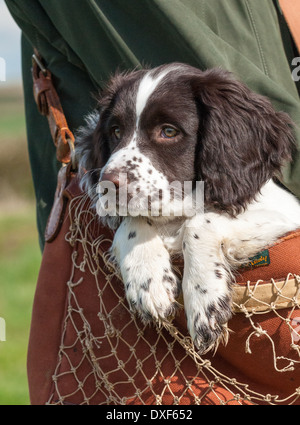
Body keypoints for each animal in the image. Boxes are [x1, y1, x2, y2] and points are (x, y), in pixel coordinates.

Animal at [75, 62, 300, 354]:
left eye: (169, 131)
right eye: (115, 131)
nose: (106, 185)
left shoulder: (285, 214)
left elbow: (200, 222)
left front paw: (204, 298)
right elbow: (132, 222)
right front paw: (148, 281)